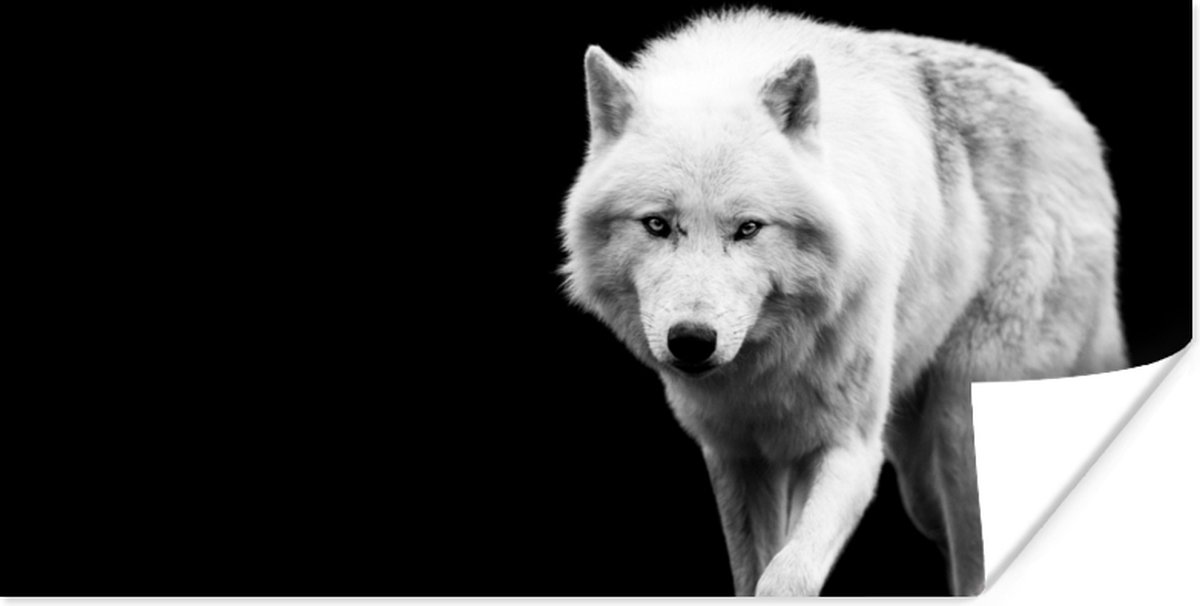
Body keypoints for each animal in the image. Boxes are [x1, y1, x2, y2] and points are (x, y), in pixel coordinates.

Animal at [558, 8, 1126, 596]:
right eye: (657, 225)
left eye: (748, 228)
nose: (692, 342)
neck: (769, 366)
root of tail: (1071, 118)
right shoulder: (738, 458)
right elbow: (752, 573)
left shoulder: (851, 450)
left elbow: (786, 578)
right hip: (919, 479)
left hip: (961, 426)